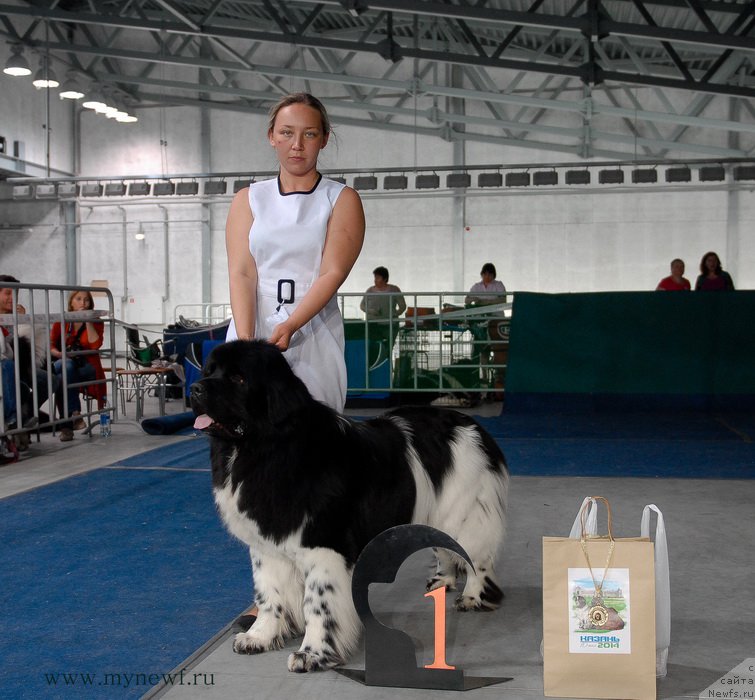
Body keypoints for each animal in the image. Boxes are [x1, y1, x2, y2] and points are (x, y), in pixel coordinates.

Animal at [189, 340, 510, 672]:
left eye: (238, 379)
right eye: (209, 371)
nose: (195, 388)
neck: (266, 447)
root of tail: (473, 427)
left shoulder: (323, 548)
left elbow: (317, 604)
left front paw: (311, 654)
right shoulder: (267, 547)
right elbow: (269, 594)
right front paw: (259, 637)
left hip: (464, 513)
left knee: (475, 558)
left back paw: (473, 597)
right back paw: (441, 582)